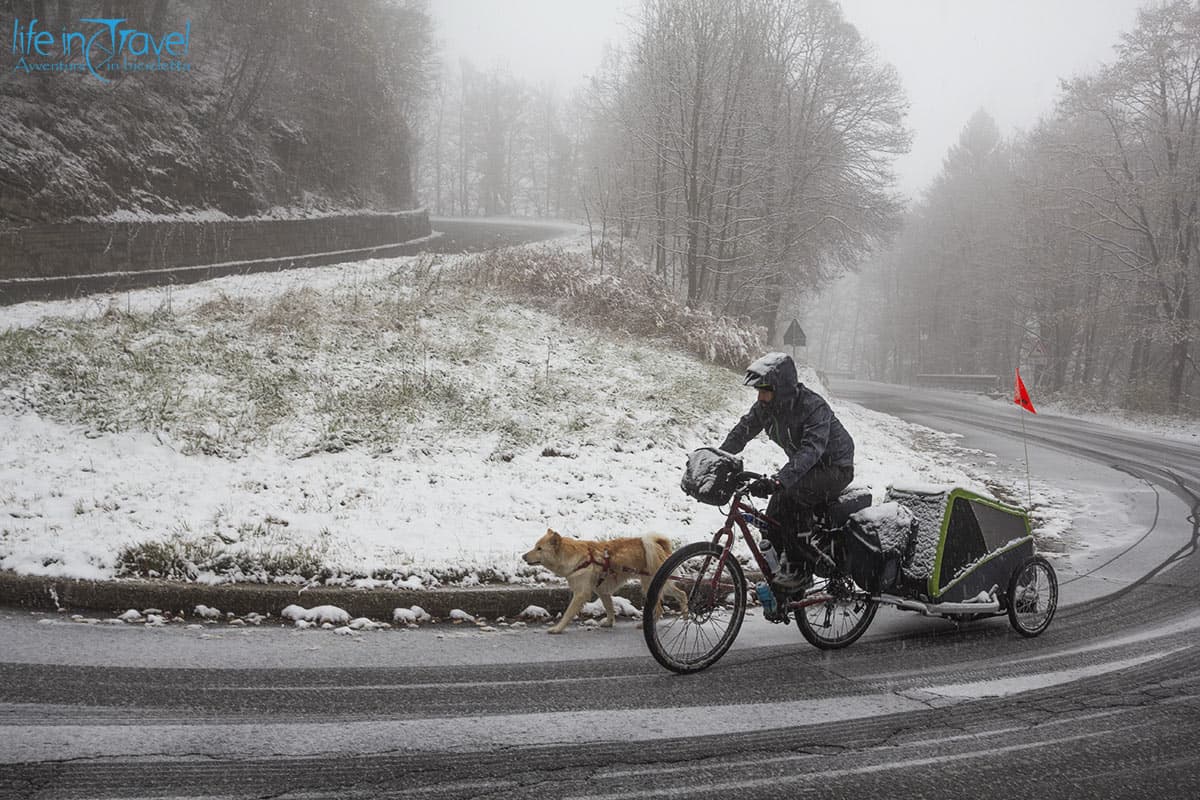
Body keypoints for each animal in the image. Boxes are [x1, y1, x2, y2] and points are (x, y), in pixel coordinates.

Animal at [523, 527, 691, 633]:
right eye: (535, 546)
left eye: (539, 549)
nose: (523, 556)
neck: (576, 557)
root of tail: (658, 545)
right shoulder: (602, 591)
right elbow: (609, 608)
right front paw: (610, 623)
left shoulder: (581, 594)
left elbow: (568, 613)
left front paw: (558, 629)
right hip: (659, 584)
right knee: (682, 594)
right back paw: (685, 616)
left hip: (650, 585)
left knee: (661, 607)